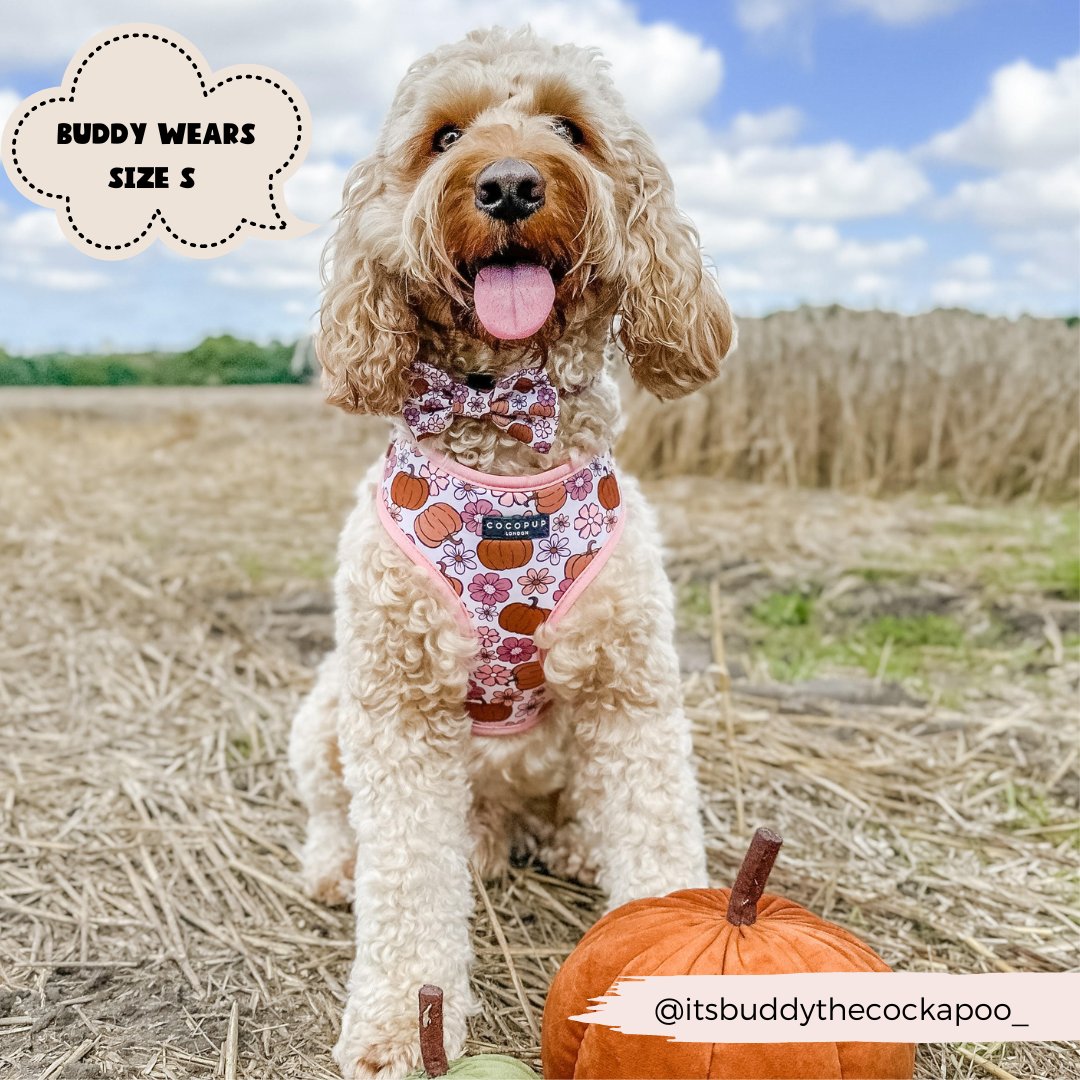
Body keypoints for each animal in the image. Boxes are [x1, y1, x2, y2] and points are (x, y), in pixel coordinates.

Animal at [289, 25, 734, 1080]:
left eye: (570, 128)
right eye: (444, 137)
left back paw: (566, 842)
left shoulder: (630, 692)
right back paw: (343, 866)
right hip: (328, 706)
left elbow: (656, 832)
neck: (504, 428)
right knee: (333, 809)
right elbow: (408, 882)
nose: (508, 186)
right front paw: (396, 1027)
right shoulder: (397, 705)